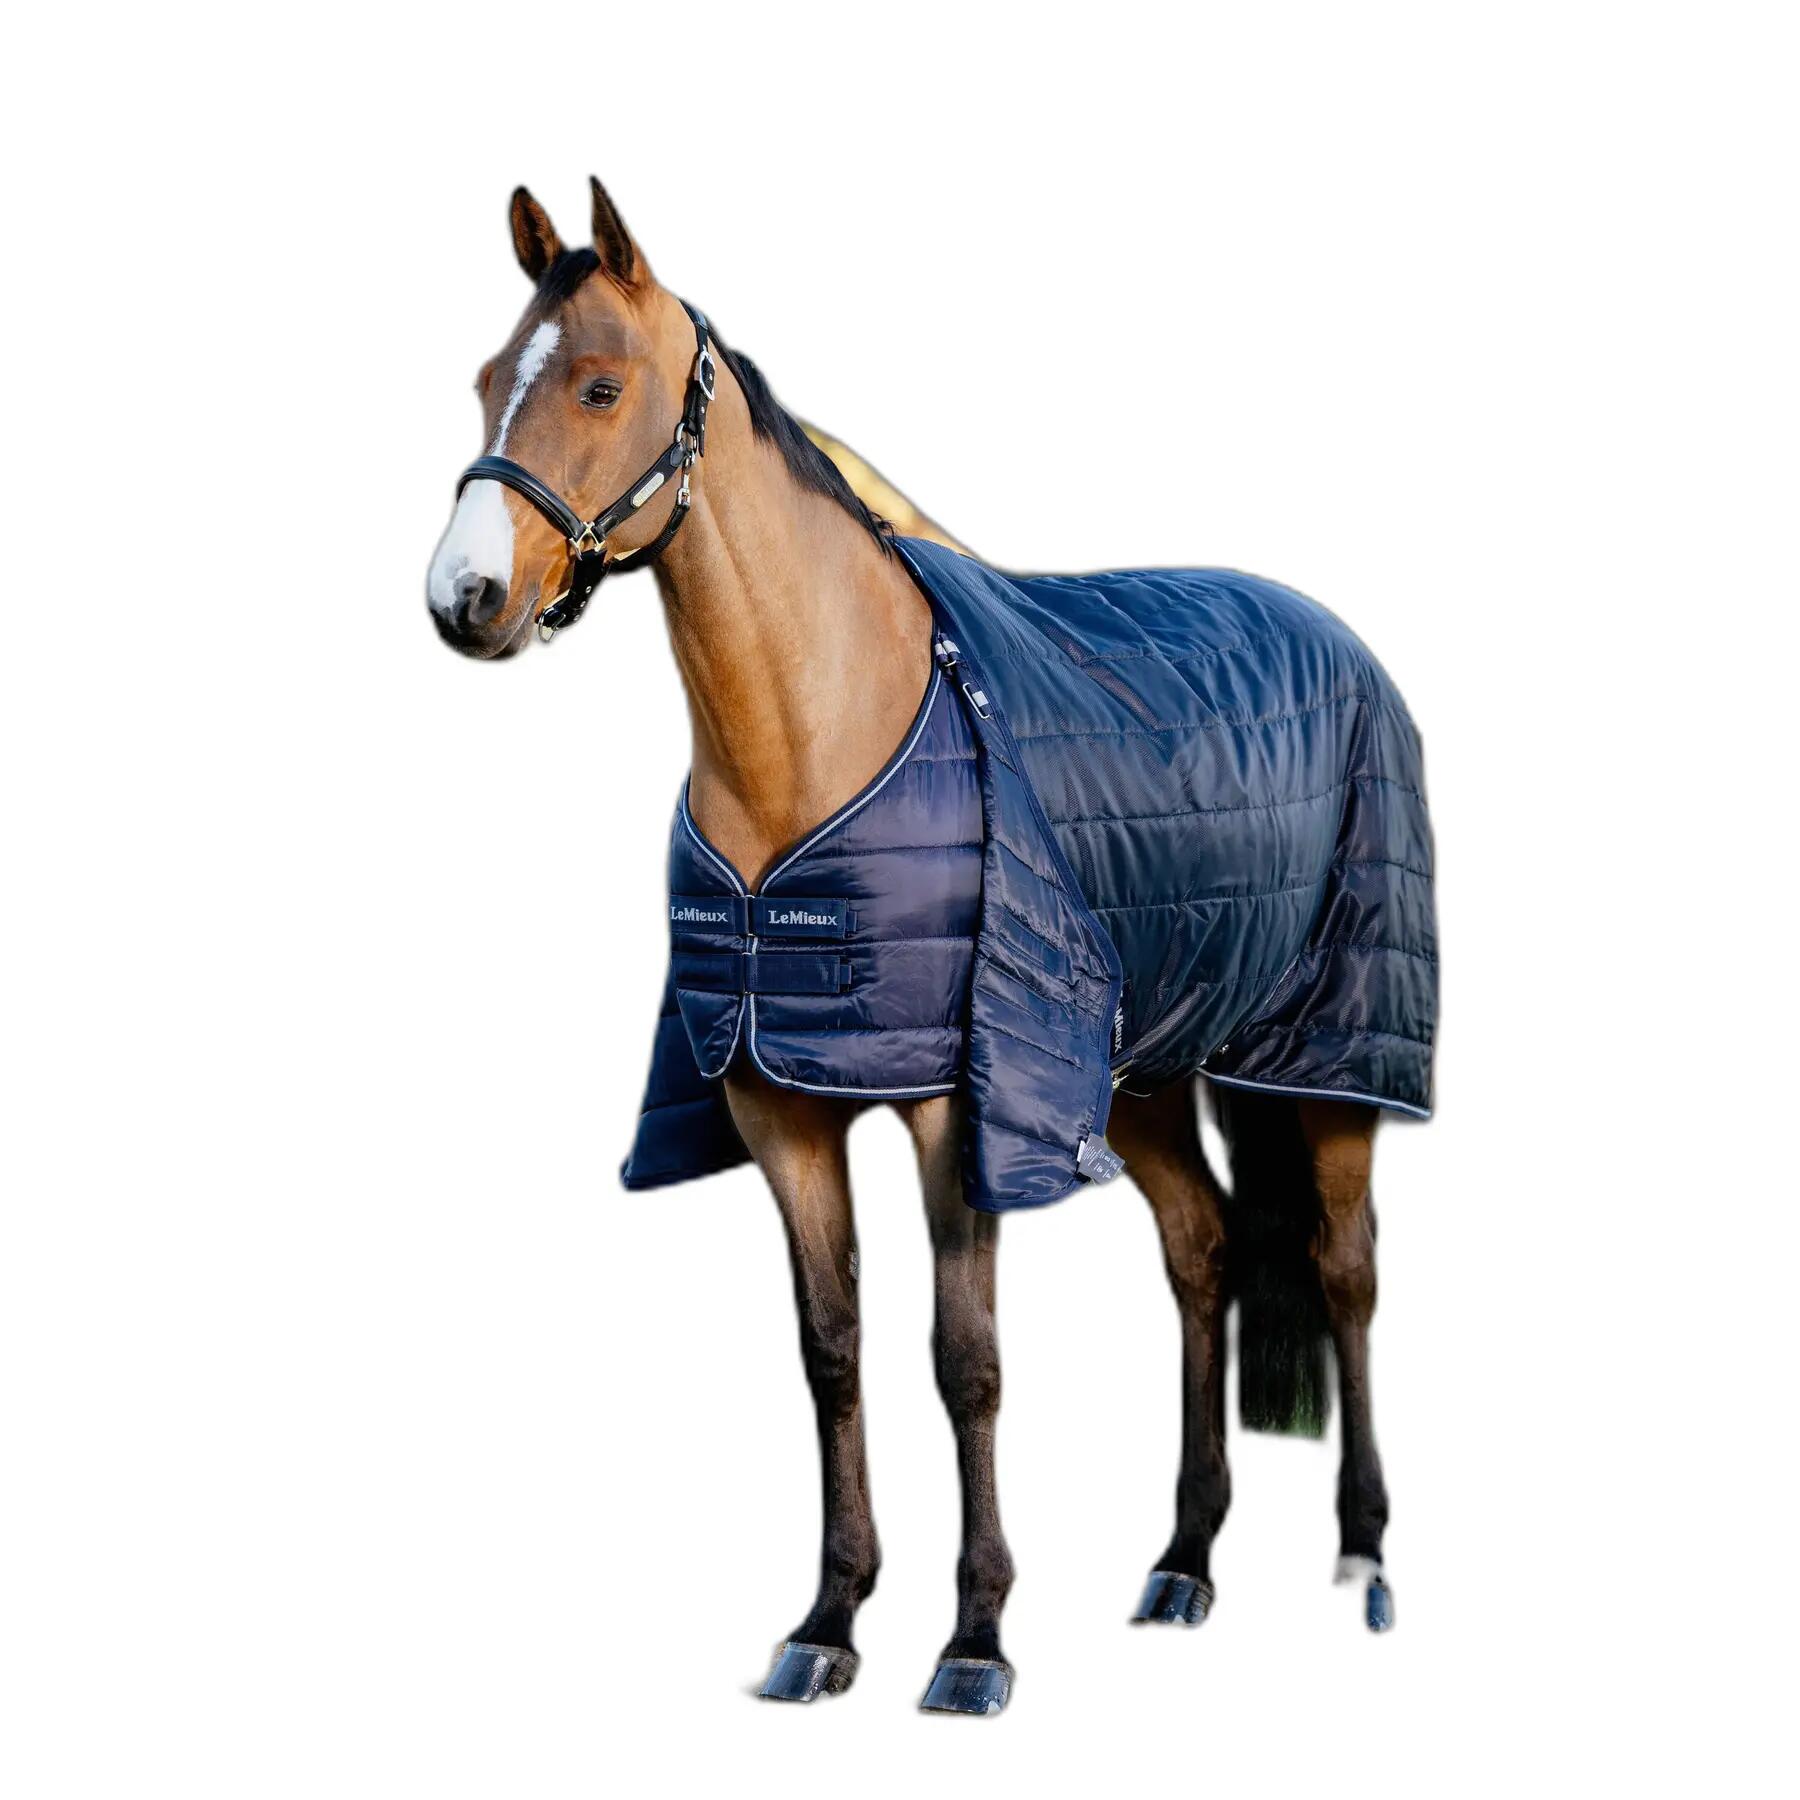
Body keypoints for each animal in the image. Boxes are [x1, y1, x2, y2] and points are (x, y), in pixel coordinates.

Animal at [425, 177, 1435, 1714]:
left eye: (599, 384)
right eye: (490, 379)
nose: (462, 598)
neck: (822, 731)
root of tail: (1340, 639)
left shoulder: (959, 1108)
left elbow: (966, 1360)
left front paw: (974, 1641)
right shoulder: (781, 1107)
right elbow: (831, 1354)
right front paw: (828, 1621)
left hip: (1329, 1061)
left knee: (1346, 1270)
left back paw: (1368, 1560)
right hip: (1136, 1076)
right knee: (1203, 1253)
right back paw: (1184, 1561)